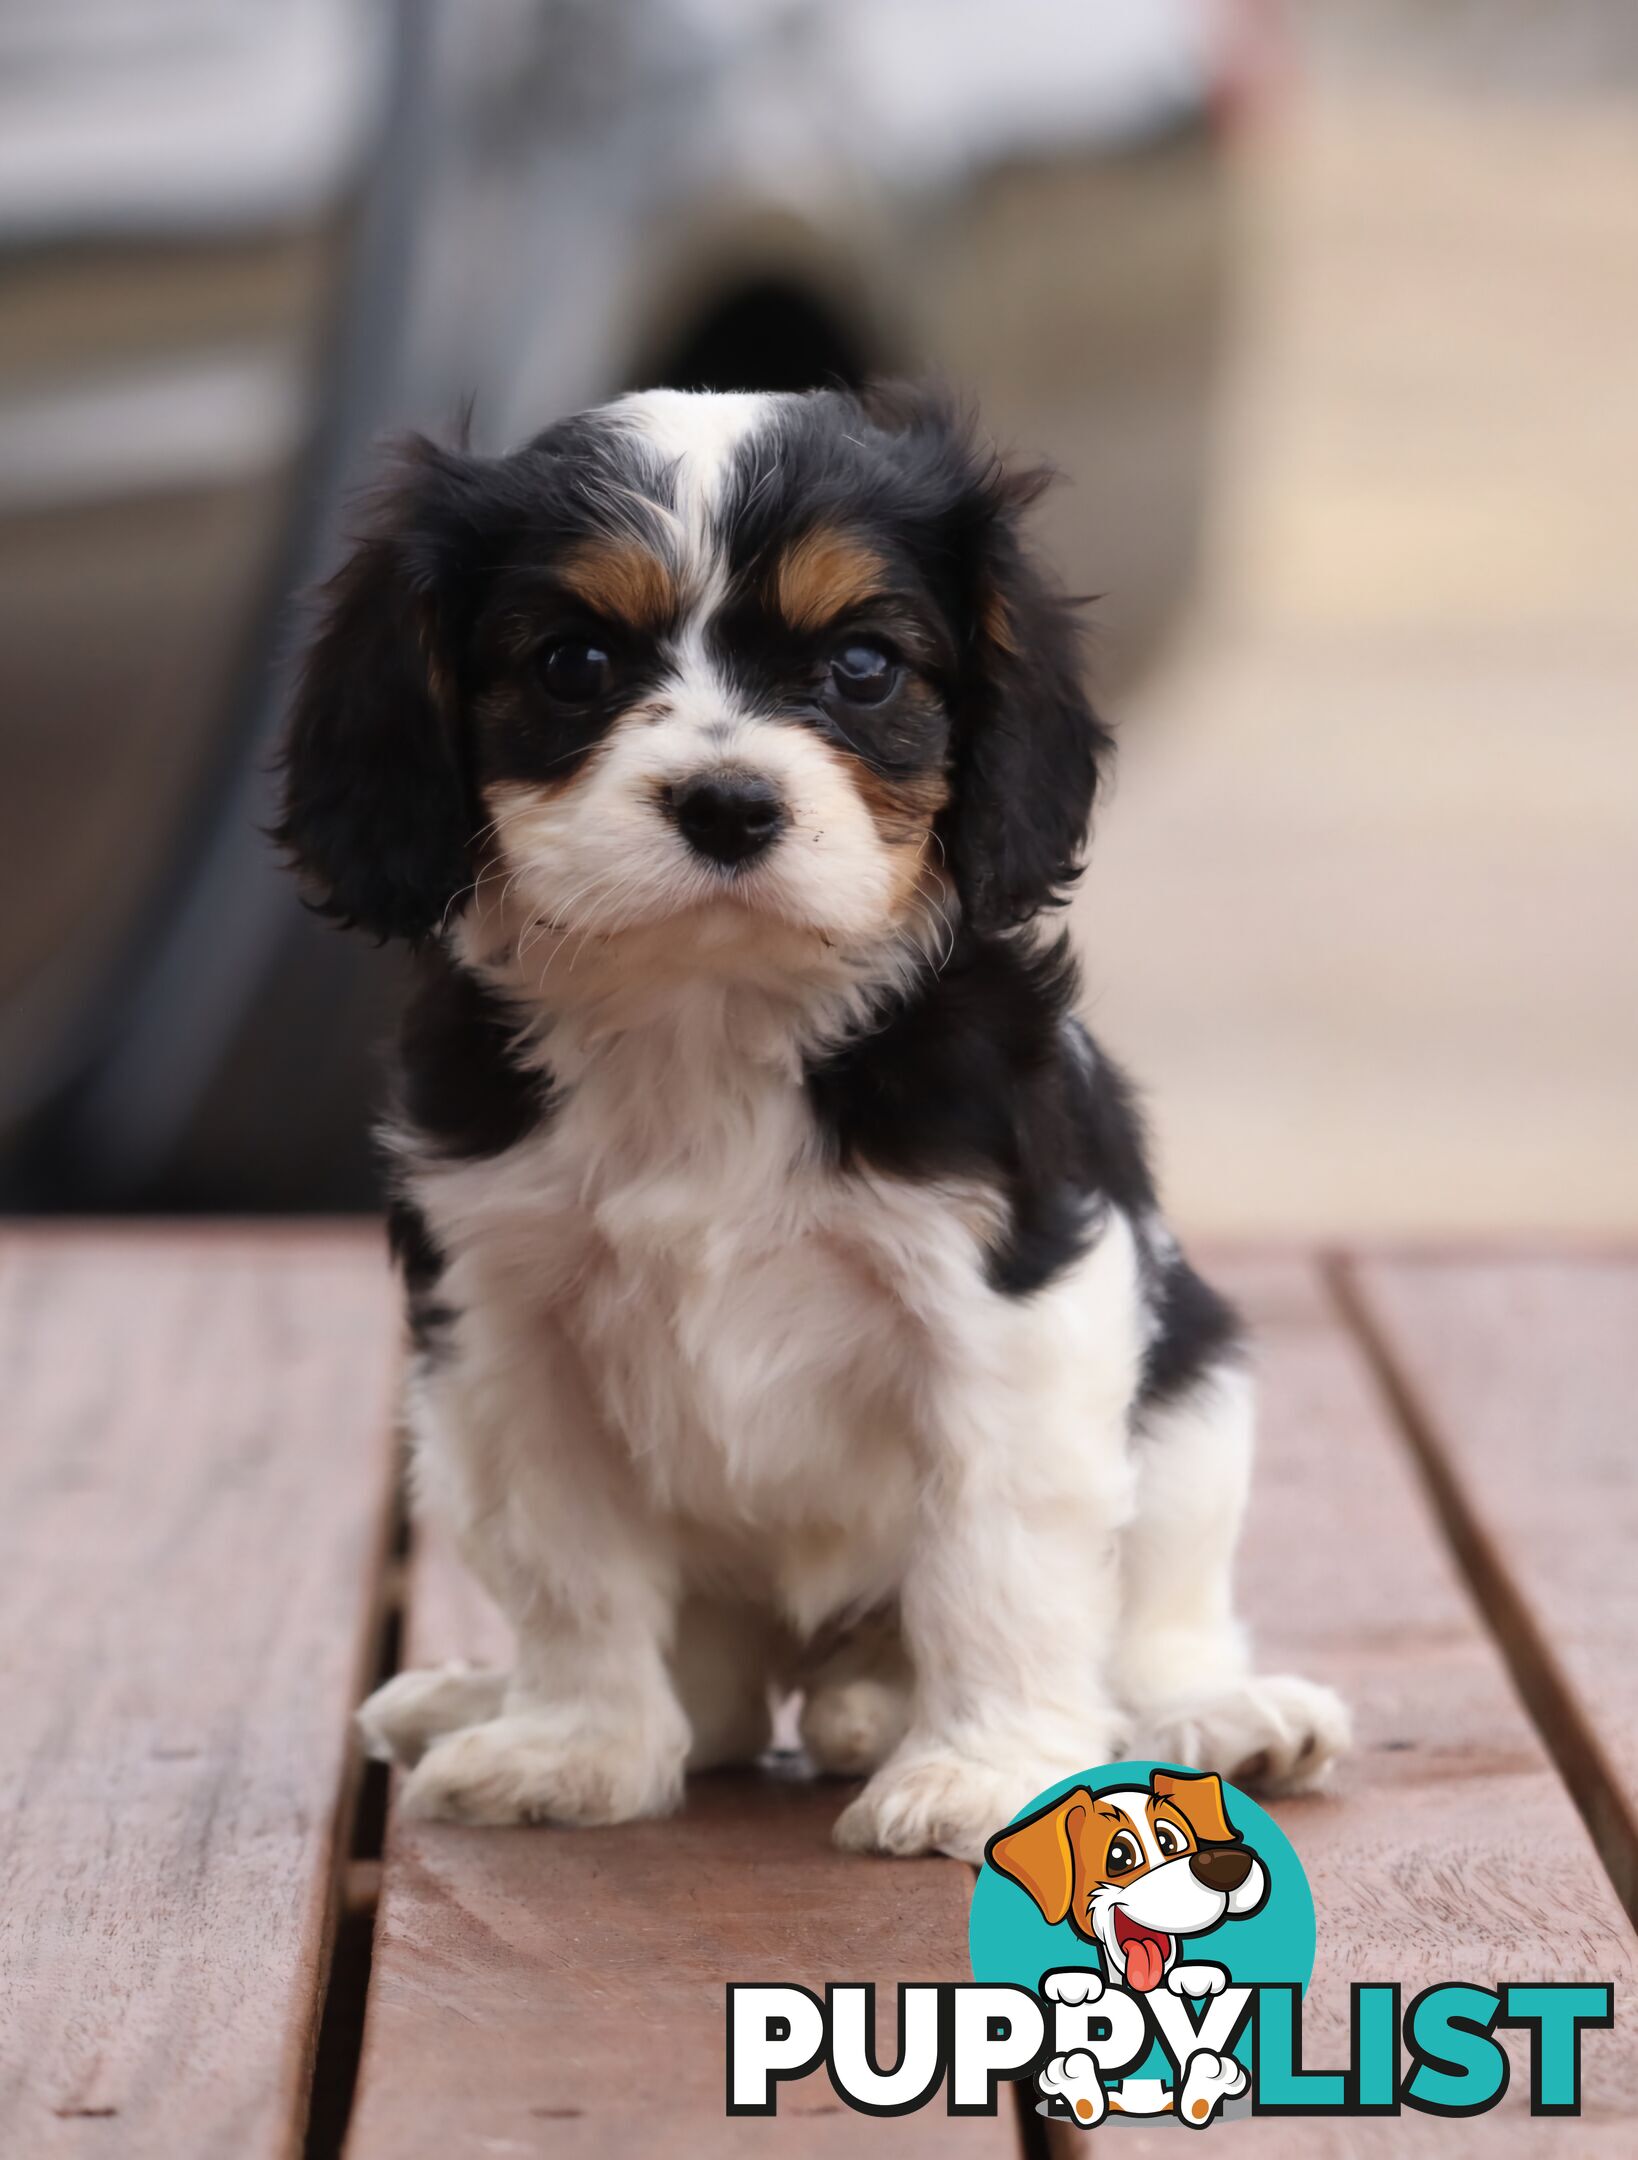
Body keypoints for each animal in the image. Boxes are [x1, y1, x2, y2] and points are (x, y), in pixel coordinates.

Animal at [278, 384, 1348, 1857]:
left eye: (861, 668)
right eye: (572, 663)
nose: (729, 804)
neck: (711, 1011)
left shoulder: (1005, 1317)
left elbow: (997, 1564)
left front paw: (985, 1772)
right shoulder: (506, 1337)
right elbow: (569, 1566)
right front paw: (575, 1747)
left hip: (1196, 1398)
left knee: (1150, 1630)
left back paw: (1211, 1716)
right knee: (720, 1696)